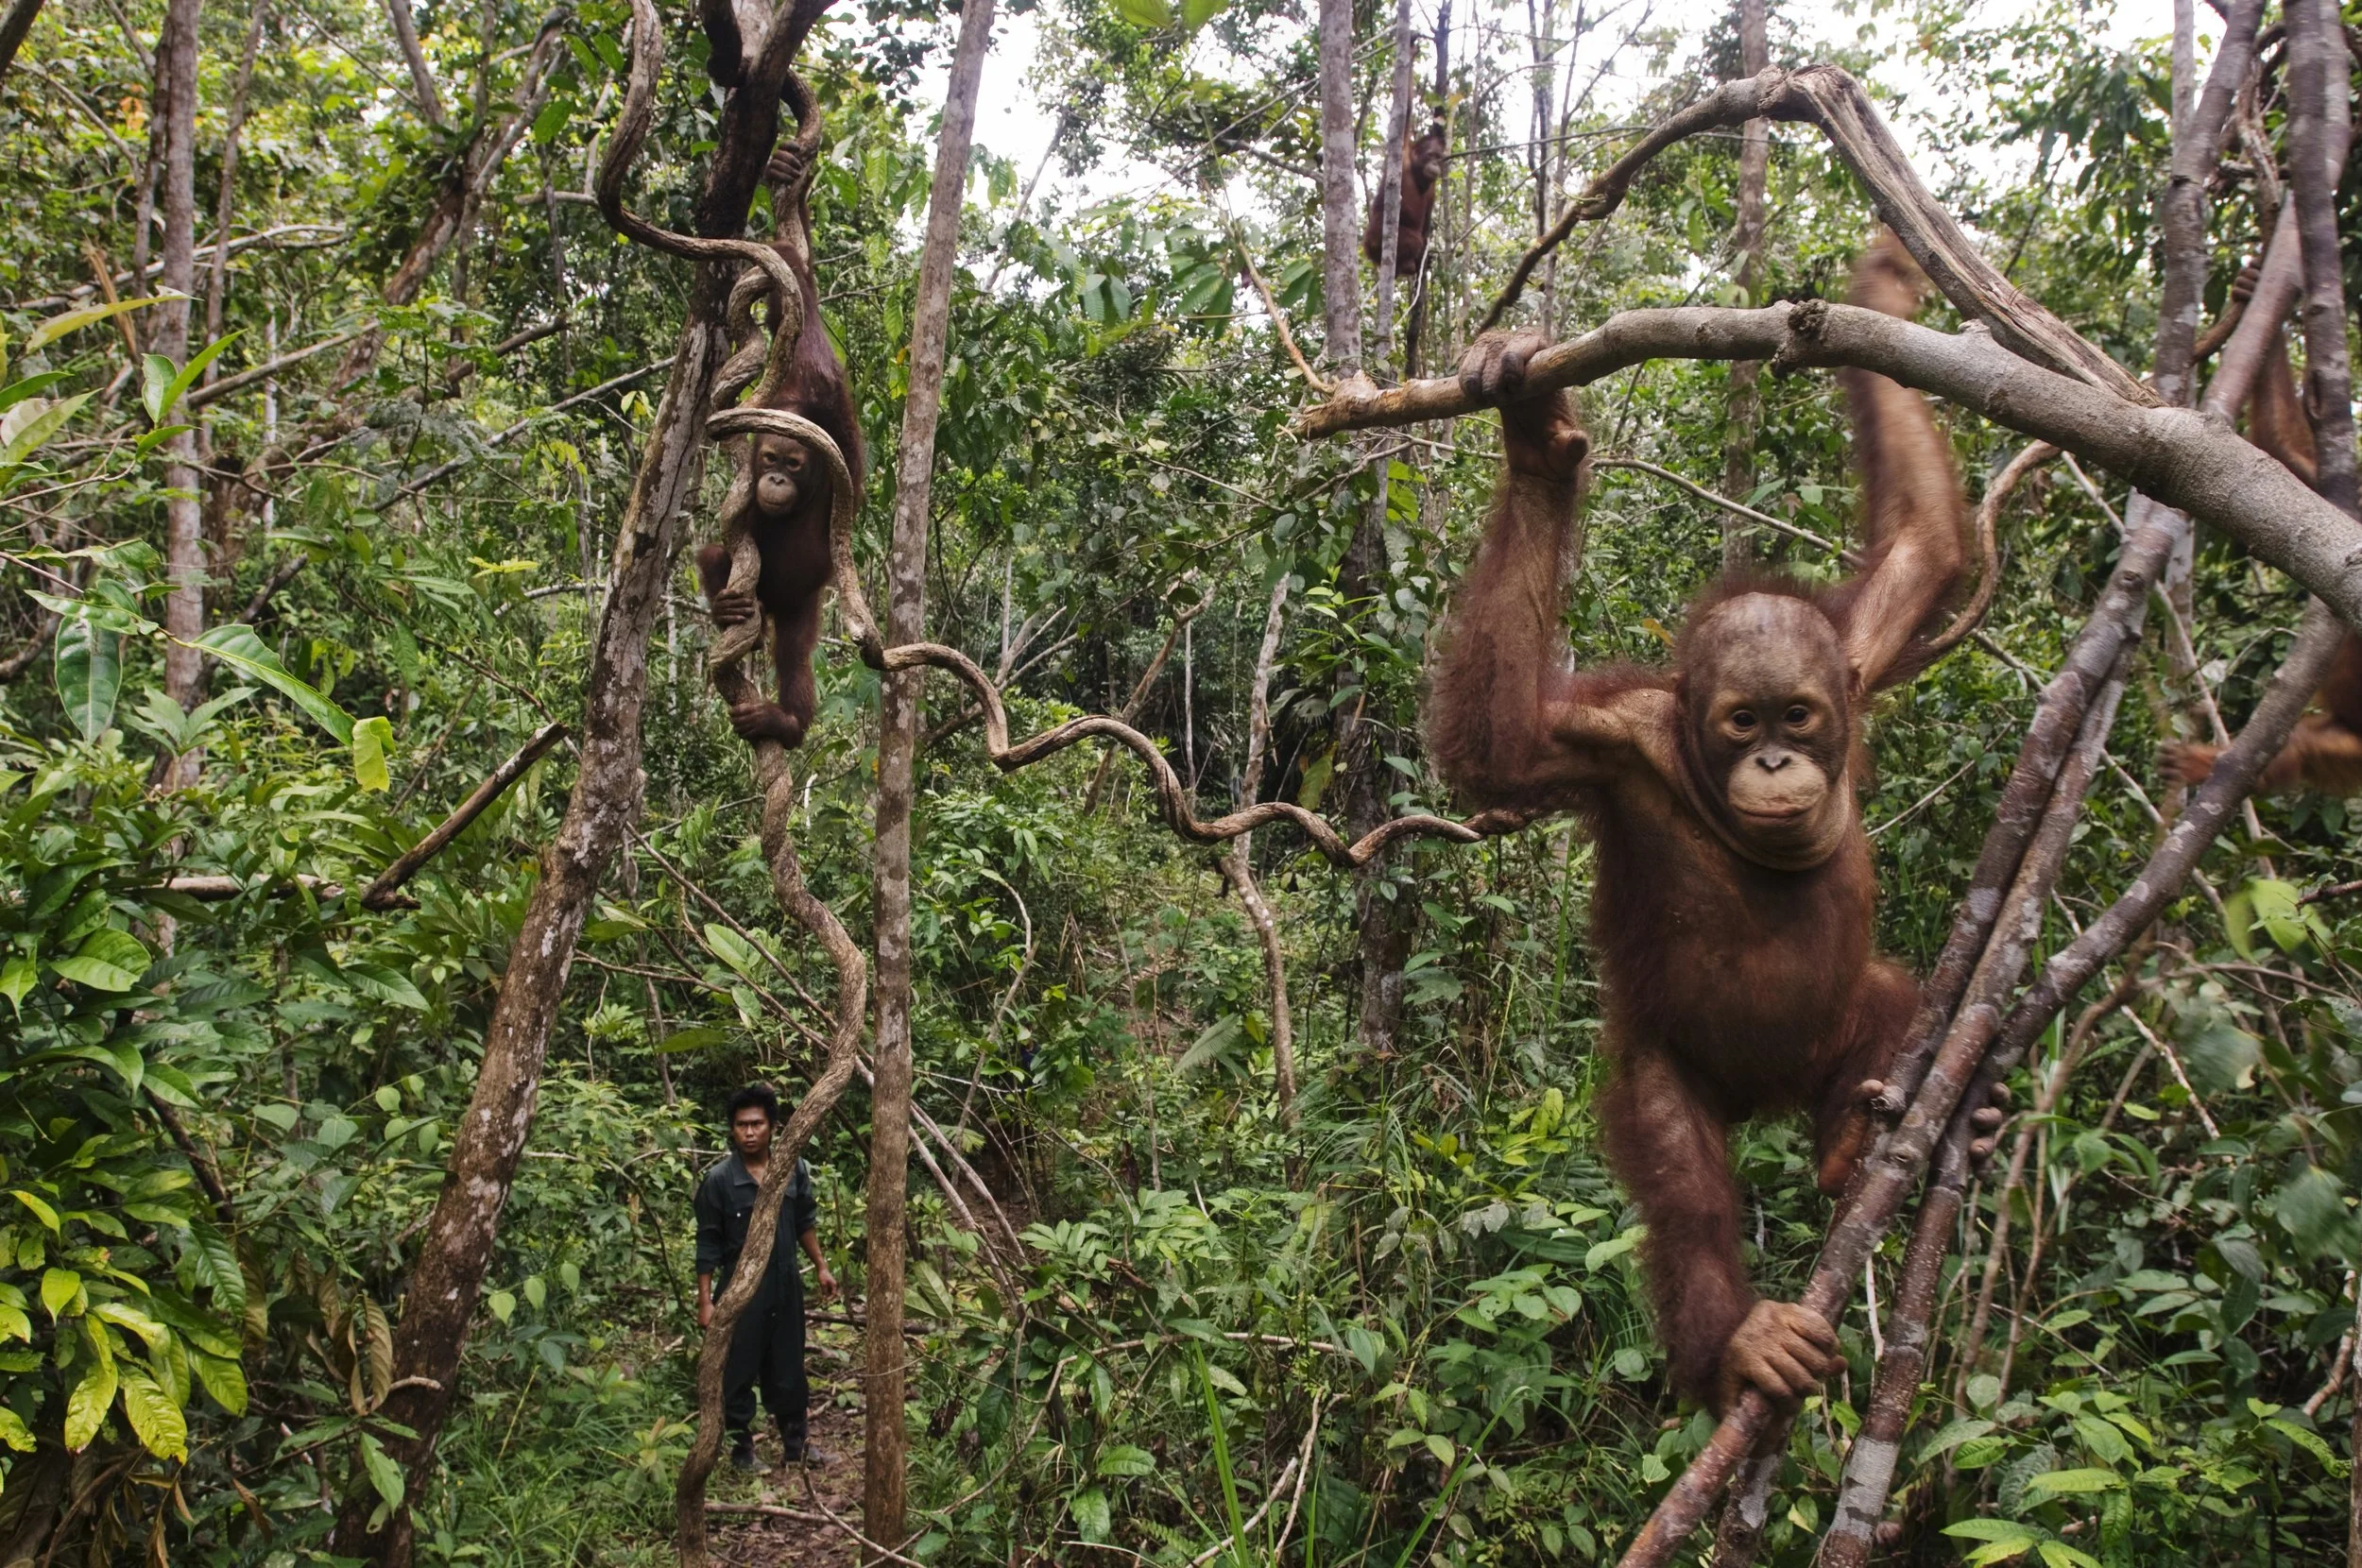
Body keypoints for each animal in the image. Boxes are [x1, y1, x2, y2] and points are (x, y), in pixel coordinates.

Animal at [1363, 118, 1449, 275]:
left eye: (1438, 157)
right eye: (1430, 155)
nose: (1435, 164)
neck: (1416, 172)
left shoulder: (1432, 189)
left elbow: (1426, 224)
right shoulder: (1402, 156)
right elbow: (1402, 130)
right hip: (1376, 235)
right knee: (1414, 240)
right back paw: (1406, 266)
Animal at [1426, 233, 2003, 1414]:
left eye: (1798, 716)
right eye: (1741, 722)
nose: (1776, 762)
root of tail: (1765, 1101)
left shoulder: (1861, 648)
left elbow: (1923, 546)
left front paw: (1885, 282)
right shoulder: (1614, 740)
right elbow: (1502, 747)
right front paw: (1534, 437)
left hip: (1830, 1040)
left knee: (1886, 998)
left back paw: (1859, 1143)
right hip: (1667, 1067)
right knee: (1683, 1181)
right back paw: (1737, 1342)